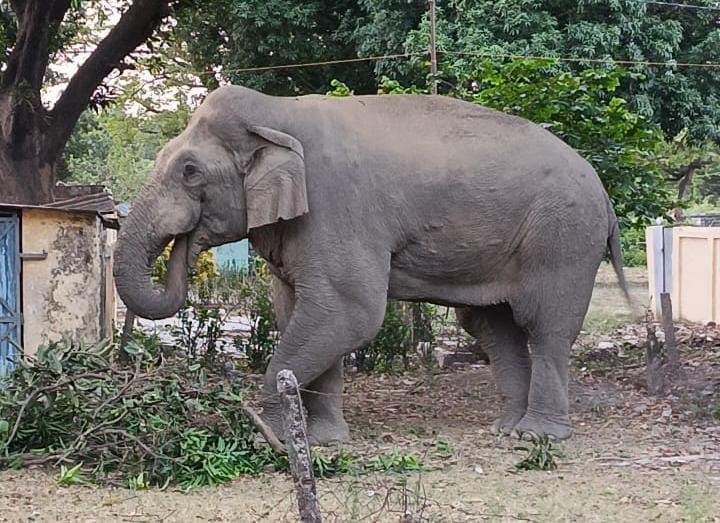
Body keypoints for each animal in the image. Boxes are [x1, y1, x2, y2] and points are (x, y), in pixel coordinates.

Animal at [113, 85, 629, 444]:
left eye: (190, 172)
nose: (186, 243)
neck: (279, 111)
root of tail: (605, 195)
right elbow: (301, 312)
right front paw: (323, 441)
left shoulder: (336, 208)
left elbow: (349, 312)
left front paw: (271, 436)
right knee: (491, 326)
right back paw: (505, 428)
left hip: (563, 235)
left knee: (546, 326)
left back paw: (536, 436)